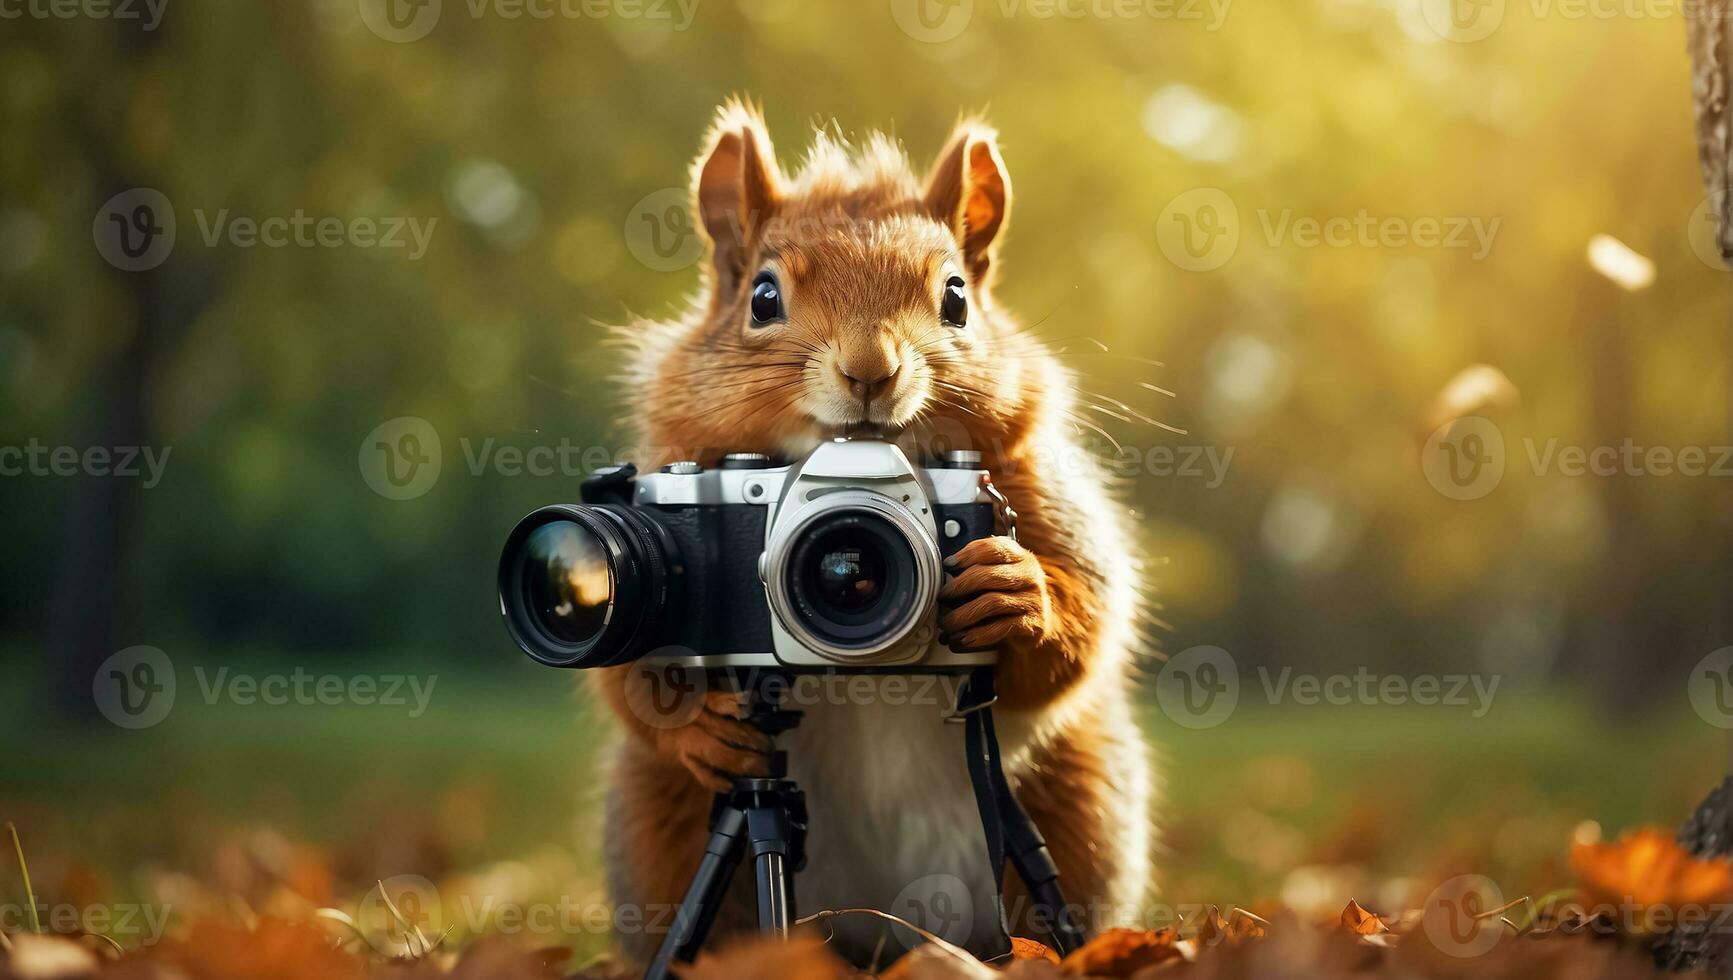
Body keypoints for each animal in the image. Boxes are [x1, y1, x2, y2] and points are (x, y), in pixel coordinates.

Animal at [596, 99, 1150, 964]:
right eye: (762, 298)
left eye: (956, 298)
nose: (869, 369)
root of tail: (881, 932)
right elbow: (628, 665)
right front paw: (701, 729)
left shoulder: (1035, 487)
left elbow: (1085, 617)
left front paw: (1018, 595)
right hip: (661, 827)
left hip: (1077, 806)